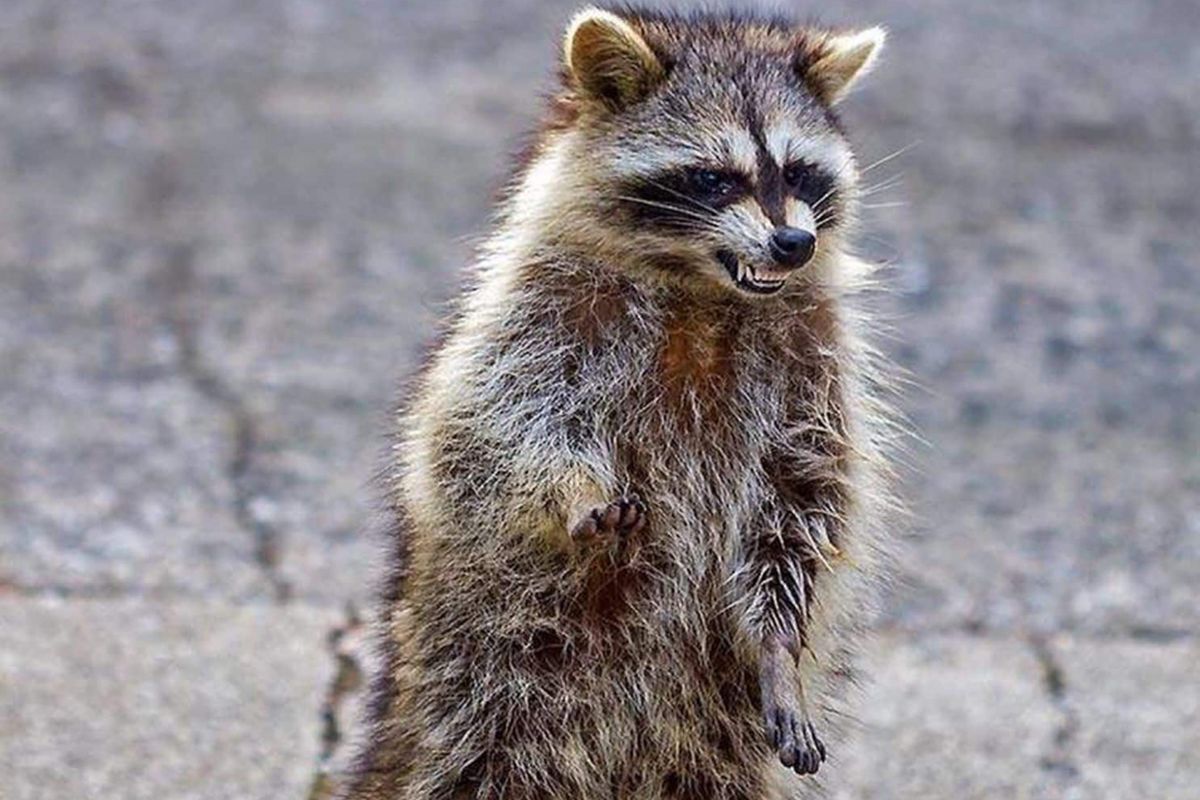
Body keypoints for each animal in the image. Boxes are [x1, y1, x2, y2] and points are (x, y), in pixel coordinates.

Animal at [343, 7, 897, 800]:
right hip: (483, 659)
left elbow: (800, 500)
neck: (702, 287)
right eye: (711, 177)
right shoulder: (538, 311)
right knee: (474, 752)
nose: (794, 242)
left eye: (797, 171)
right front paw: (574, 490)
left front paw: (778, 644)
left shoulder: (812, 363)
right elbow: (499, 424)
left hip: (710, 722)